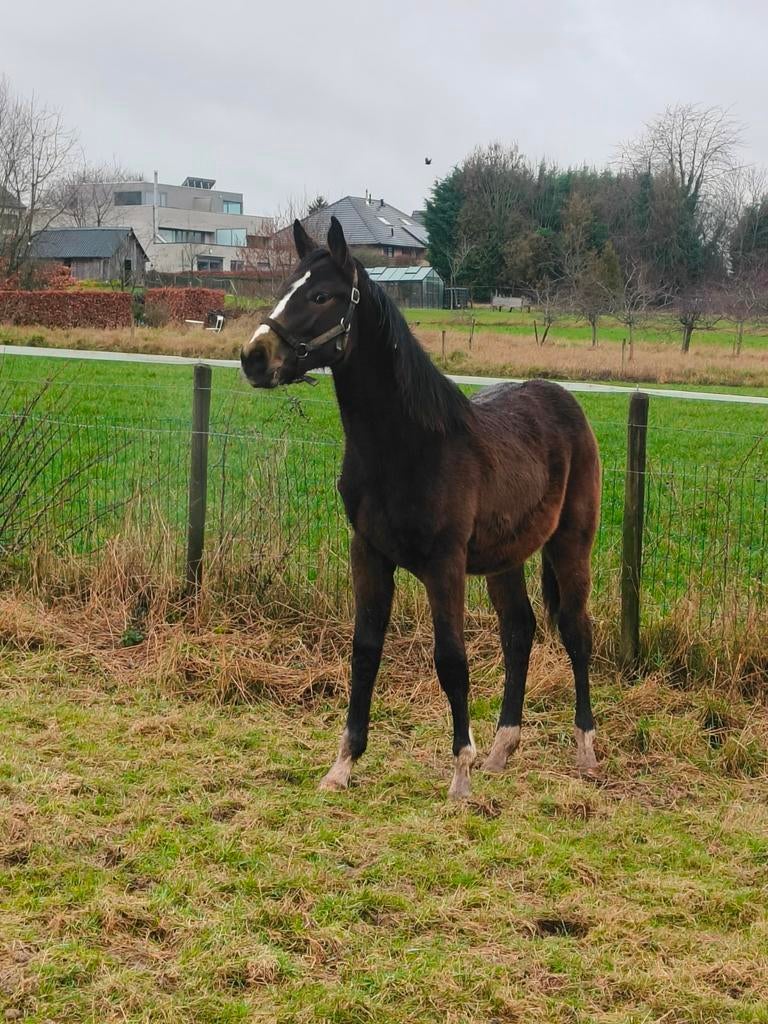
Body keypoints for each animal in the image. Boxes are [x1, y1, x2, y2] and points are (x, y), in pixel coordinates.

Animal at [241, 217, 602, 800]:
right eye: (285, 287)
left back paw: (585, 750)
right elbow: (365, 650)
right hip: (505, 559)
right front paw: (343, 764)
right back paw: (502, 749)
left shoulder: (444, 564)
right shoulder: (368, 554)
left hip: (571, 544)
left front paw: (460, 773)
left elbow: (451, 659)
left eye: (322, 295)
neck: (408, 447)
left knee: (575, 630)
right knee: (519, 631)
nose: (254, 357)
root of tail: (565, 400)